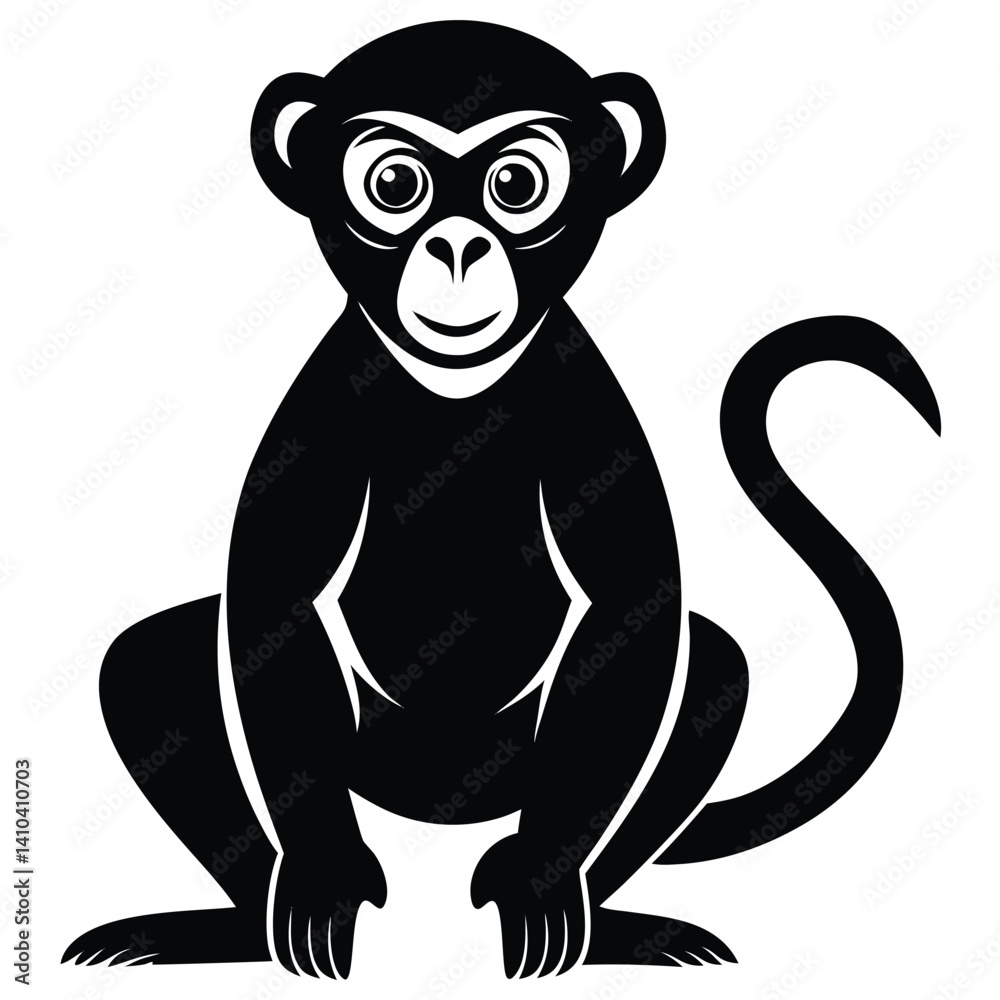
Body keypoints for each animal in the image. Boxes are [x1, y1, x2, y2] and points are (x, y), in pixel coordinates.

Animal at [63, 20, 940, 980]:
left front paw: (541, 886)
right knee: (157, 657)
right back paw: (235, 926)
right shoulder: (324, 401)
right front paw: (324, 879)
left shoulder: (584, 397)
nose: (457, 248)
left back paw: (609, 922)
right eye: (394, 185)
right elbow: (275, 603)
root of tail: (441, 800)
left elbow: (633, 607)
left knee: (709, 669)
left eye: (516, 185)